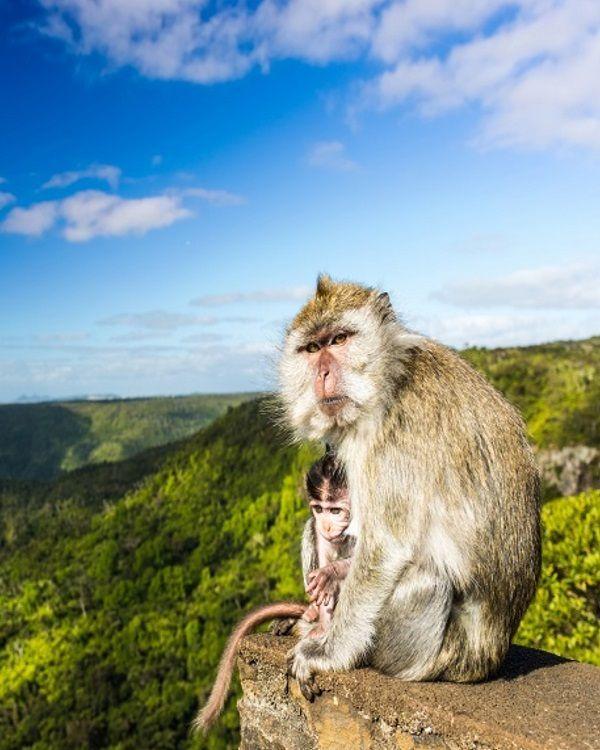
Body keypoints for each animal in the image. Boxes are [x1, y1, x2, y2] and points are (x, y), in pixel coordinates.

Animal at [278, 274, 541, 699]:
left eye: (339, 339)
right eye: (312, 348)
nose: (322, 374)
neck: (390, 377)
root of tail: (485, 662)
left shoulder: (395, 436)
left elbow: (384, 548)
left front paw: (327, 654)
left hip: (428, 657)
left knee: (427, 578)